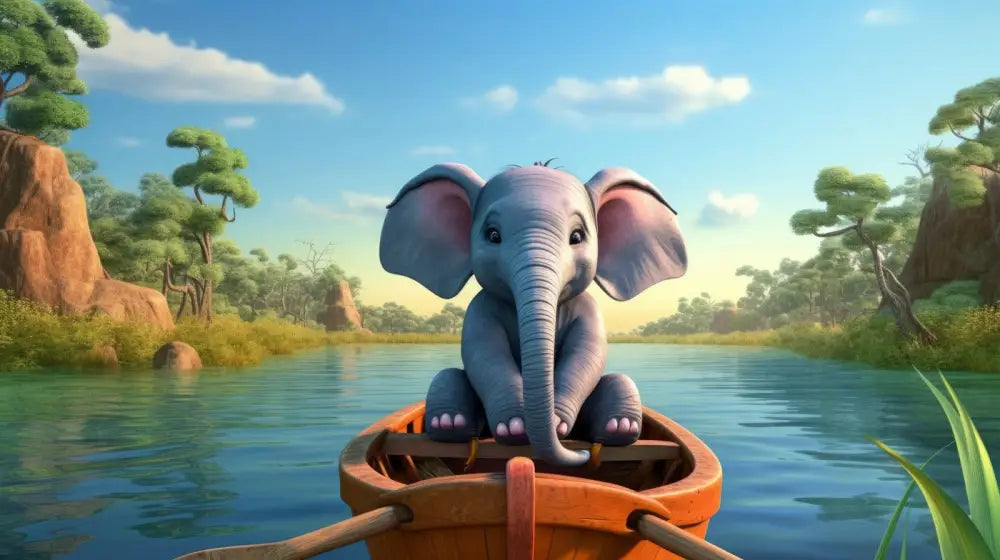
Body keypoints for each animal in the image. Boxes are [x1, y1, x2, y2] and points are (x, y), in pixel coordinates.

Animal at [379, 160, 687, 467]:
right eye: (493, 235)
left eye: (577, 236)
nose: (582, 453)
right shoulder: (480, 308)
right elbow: (485, 353)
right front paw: (514, 428)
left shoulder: (588, 310)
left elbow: (587, 354)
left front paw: (557, 424)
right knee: (447, 377)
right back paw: (449, 424)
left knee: (620, 381)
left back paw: (620, 428)